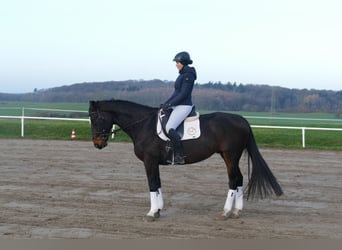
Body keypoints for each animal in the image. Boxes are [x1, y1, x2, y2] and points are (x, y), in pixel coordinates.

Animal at [88, 100, 284, 221]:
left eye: (96, 118)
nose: (98, 144)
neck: (143, 124)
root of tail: (241, 119)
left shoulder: (149, 161)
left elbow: (152, 184)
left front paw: (152, 213)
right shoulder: (153, 162)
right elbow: (158, 184)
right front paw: (159, 210)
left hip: (230, 155)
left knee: (233, 179)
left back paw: (226, 212)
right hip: (229, 156)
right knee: (240, 178)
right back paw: (236, 211)